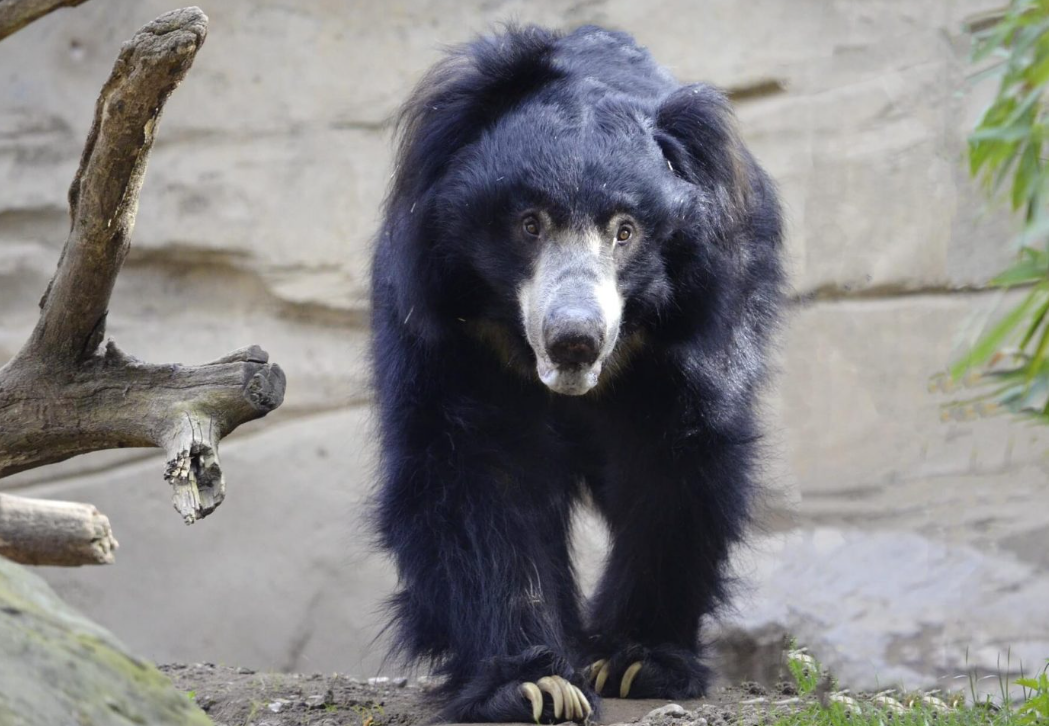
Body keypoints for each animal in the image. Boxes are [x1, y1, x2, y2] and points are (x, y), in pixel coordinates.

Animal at [370, 23, 784, 724]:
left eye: (626, 231)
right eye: (529, 223)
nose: (575, 342)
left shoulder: (687, 331)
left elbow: (673, 463)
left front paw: (636, 661)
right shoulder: (451, 328)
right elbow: (475, 473)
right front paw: (534, 684)